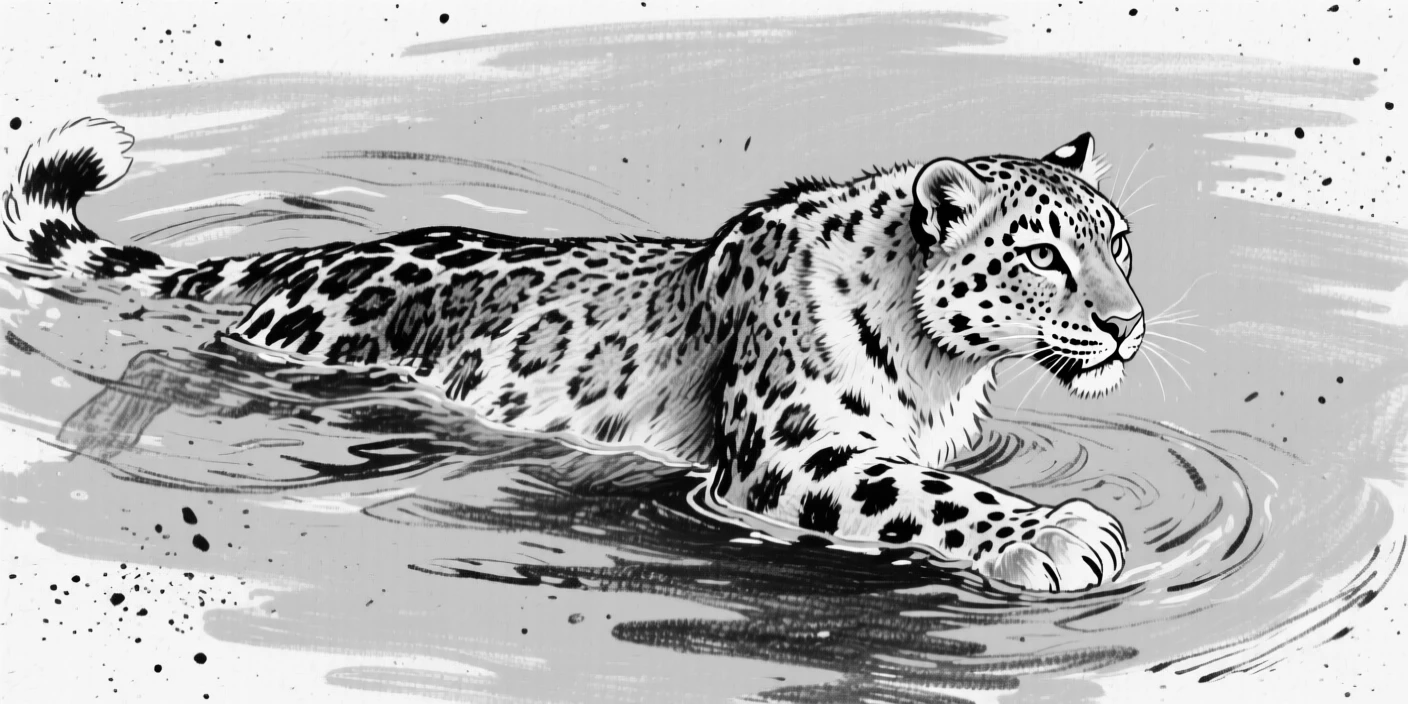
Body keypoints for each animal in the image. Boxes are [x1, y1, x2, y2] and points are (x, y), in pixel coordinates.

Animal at [3, 118, 1143, 592]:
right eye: (1043, 254)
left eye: (1118, 240)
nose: (1129, 324)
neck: (941, 362)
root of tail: (319, 253)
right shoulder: (783, 456)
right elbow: (930, 496)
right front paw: (1063, 534)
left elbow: (937, 480)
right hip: (283, 368)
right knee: (174, 366)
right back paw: (100, 426)